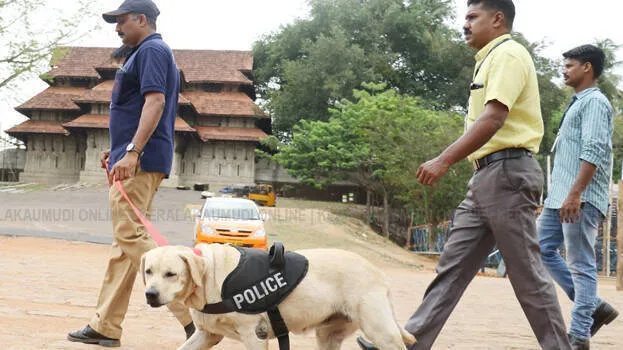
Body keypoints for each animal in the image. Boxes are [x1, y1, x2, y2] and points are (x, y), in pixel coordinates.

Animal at [140, 243, 414, 350]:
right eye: (148, 271)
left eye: (171, 274)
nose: (150, 294)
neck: (210, 275)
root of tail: (378, 272)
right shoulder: (207, 335)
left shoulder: (255, 336)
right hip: (328, 336)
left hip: (382, 332)